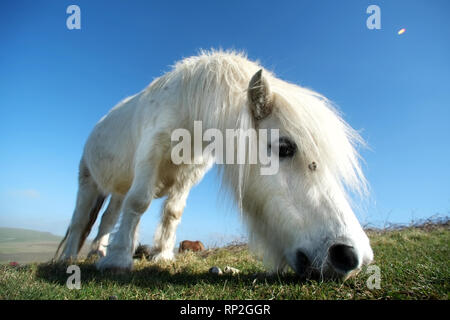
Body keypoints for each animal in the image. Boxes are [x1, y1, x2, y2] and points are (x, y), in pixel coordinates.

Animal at [55, 50, 372, 280]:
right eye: (285, 148)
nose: (350, 256)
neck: (187, 105)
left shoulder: (189, 175)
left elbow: (173, 212)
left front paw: (162, 255)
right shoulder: (150, 156)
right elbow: (139, 202)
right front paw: (119, 260)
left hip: (116, 190)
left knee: (107, 220)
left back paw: (97, 253)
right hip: (88, 182)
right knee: (80, 220)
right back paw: (70, 258)